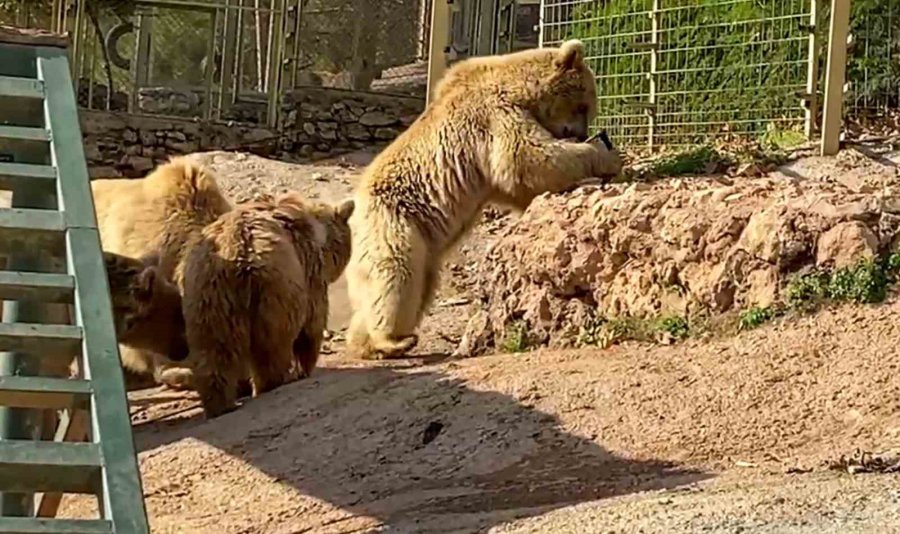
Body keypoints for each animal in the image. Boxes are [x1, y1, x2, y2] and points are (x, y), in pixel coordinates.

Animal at [181, 193, 354, 418]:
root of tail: (235, 253)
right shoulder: (309, 270)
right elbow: (312, 325)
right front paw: (305, 368)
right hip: (274, 289)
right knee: (272, 345)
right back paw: (273, 381)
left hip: (207, 295)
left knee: (214, 350)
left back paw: (219, 404)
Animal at [346, 39, 624, 362]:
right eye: (584, 105)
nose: (580, 134)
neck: (519, 87)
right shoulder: (493, 114)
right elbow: (525, 157)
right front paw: (608, 157)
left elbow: (518, 183)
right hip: (393, 221)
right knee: (396, 273)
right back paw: (390, 341)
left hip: (422, 242)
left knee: (417, 284)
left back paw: (367, 341)